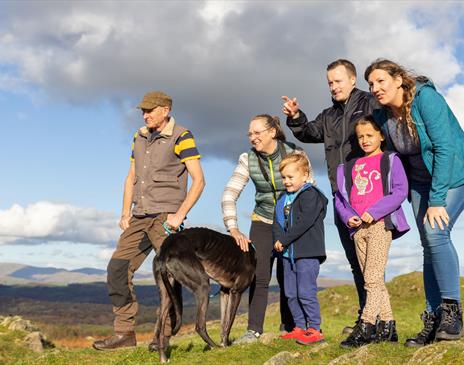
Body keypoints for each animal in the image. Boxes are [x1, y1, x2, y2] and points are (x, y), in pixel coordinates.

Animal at [152, 228, 256, 362]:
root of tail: (167, 246)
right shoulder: (236, 292)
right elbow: (229, 323)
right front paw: (225, 346)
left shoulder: (225, 293)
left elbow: (223, 323)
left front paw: (224, 344)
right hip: (203, 286)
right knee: (199, 325)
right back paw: (214, 347)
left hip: (167, 292)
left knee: (160, 327)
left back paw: (163, 358)